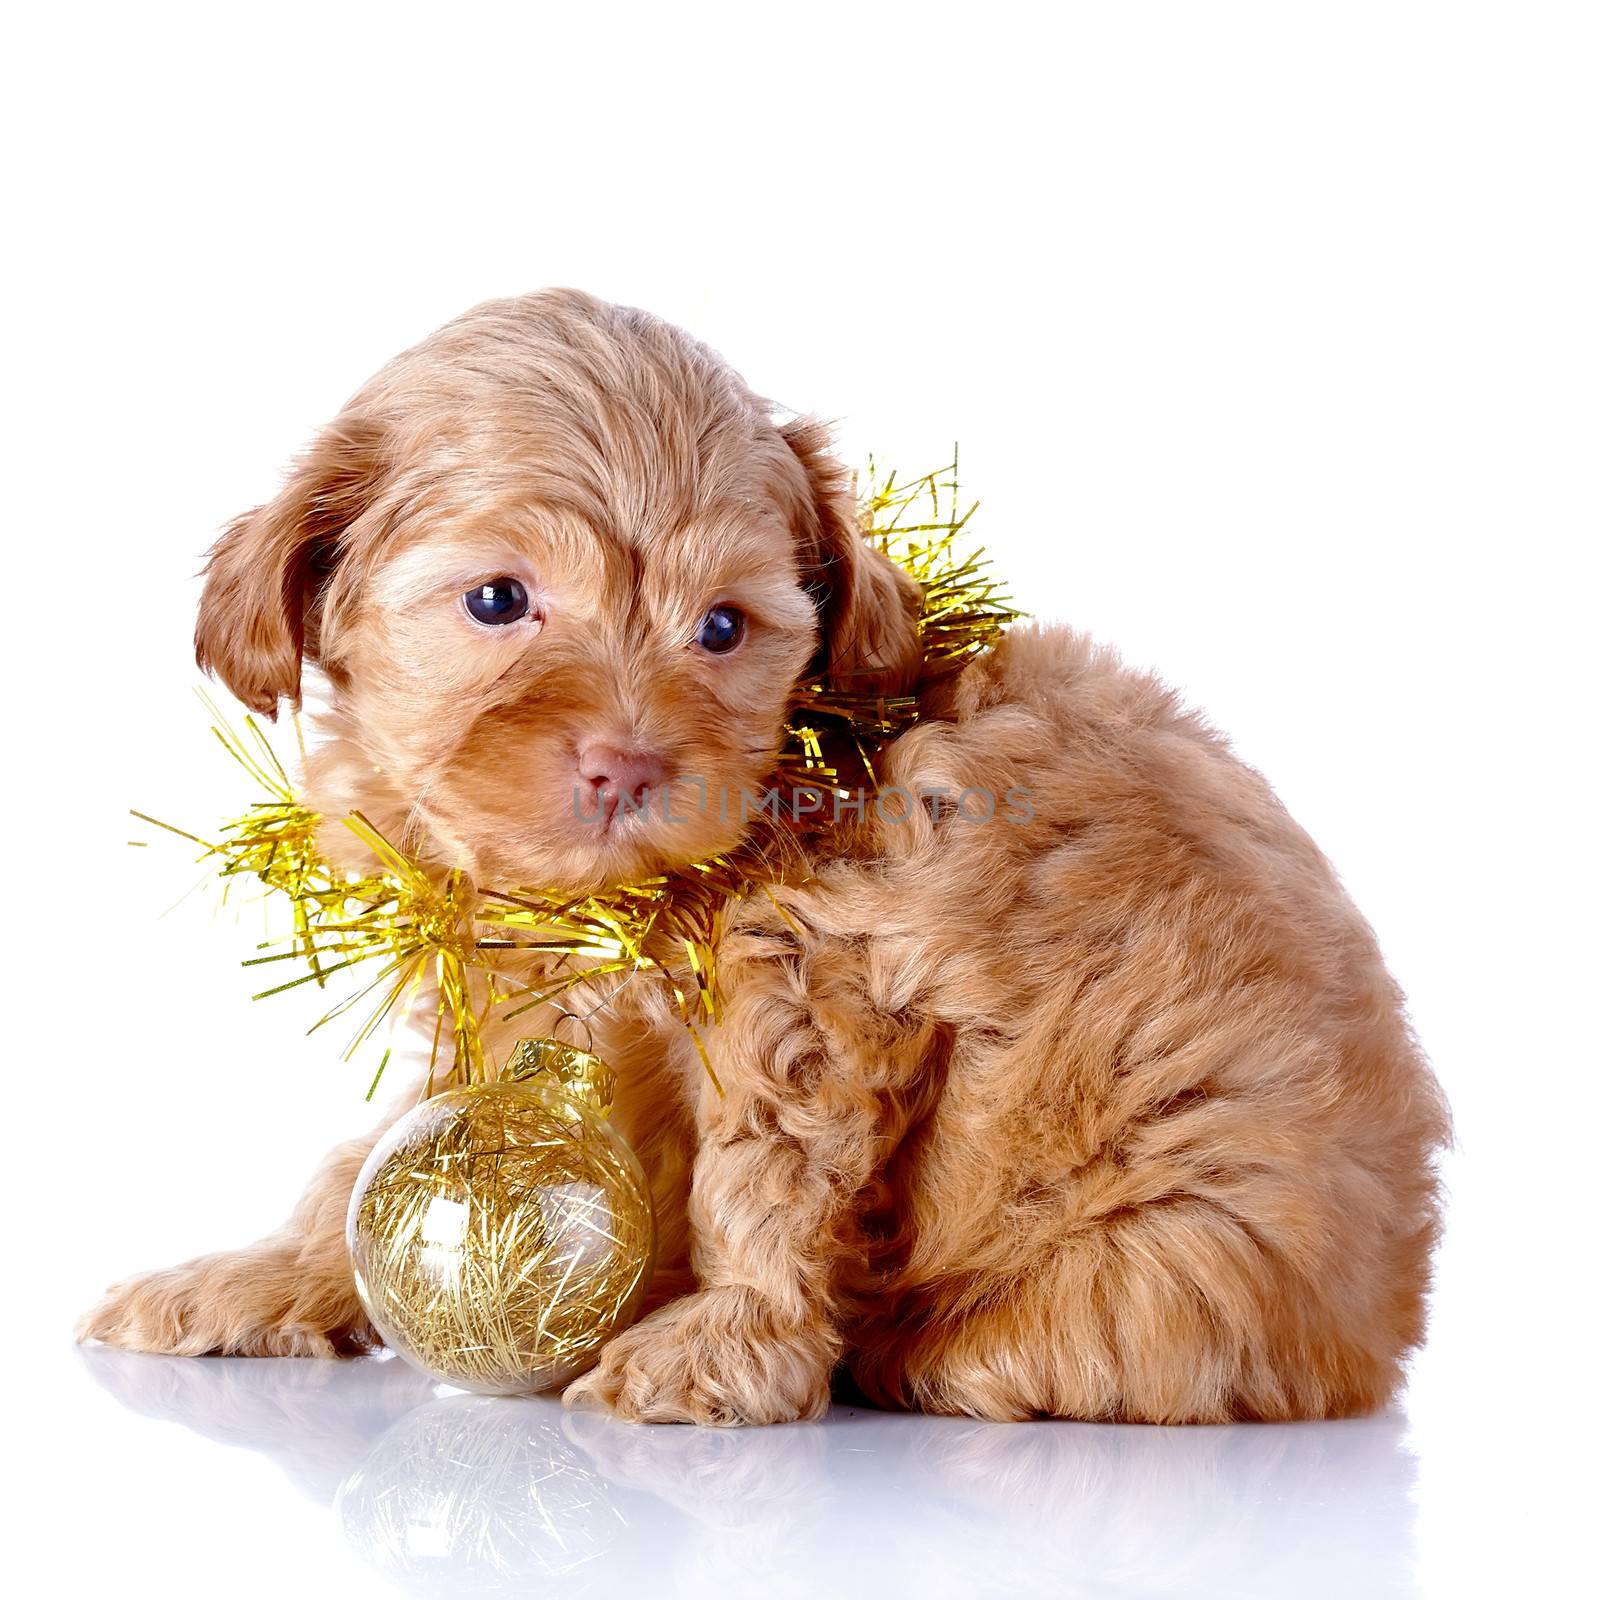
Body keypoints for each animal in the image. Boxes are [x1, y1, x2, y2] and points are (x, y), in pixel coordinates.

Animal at [78, 291, 1452, 1427]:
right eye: (497, 601)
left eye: (725, 628)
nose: (628, 764)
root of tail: (1378, 1333)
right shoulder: (495, 997)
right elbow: (378, 1158)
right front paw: (264, 1276)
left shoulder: (818, 977)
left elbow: (761, 1177)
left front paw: (719, 1348)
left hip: (1188, 1248)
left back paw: (939, 1355)